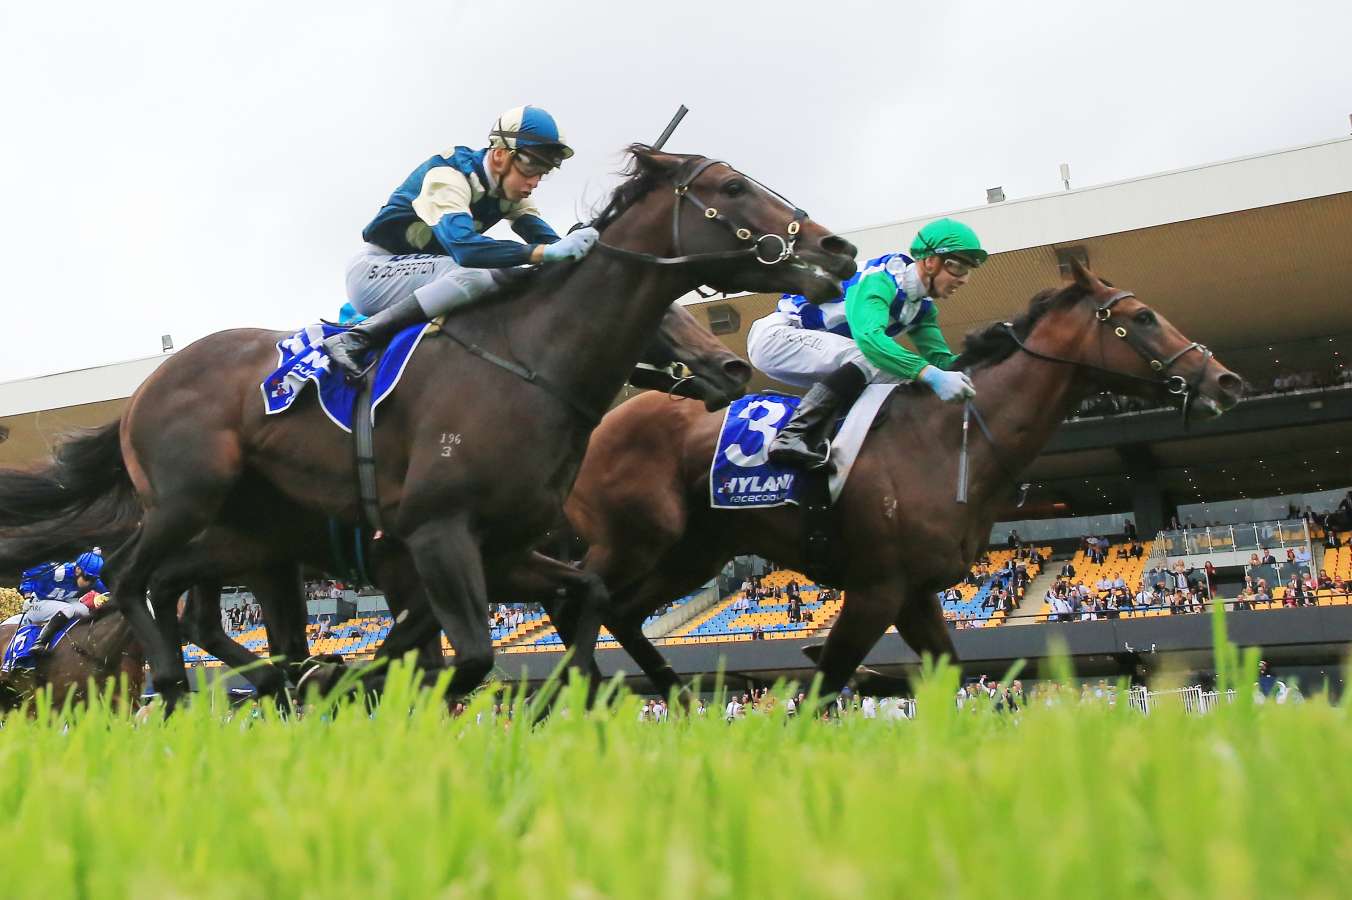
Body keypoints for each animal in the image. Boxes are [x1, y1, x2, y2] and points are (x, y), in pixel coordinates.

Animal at [527, 261, 1245, 698]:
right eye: (1143, 317)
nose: (1226, 379)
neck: (951, 439)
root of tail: (599, 419)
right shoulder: (874, 588)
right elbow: (824, 684)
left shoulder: (915, 592)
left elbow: (949, 677)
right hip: (635, 539)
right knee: (576, 598)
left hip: (691, 554)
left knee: (615, 611)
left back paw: (663, 694)